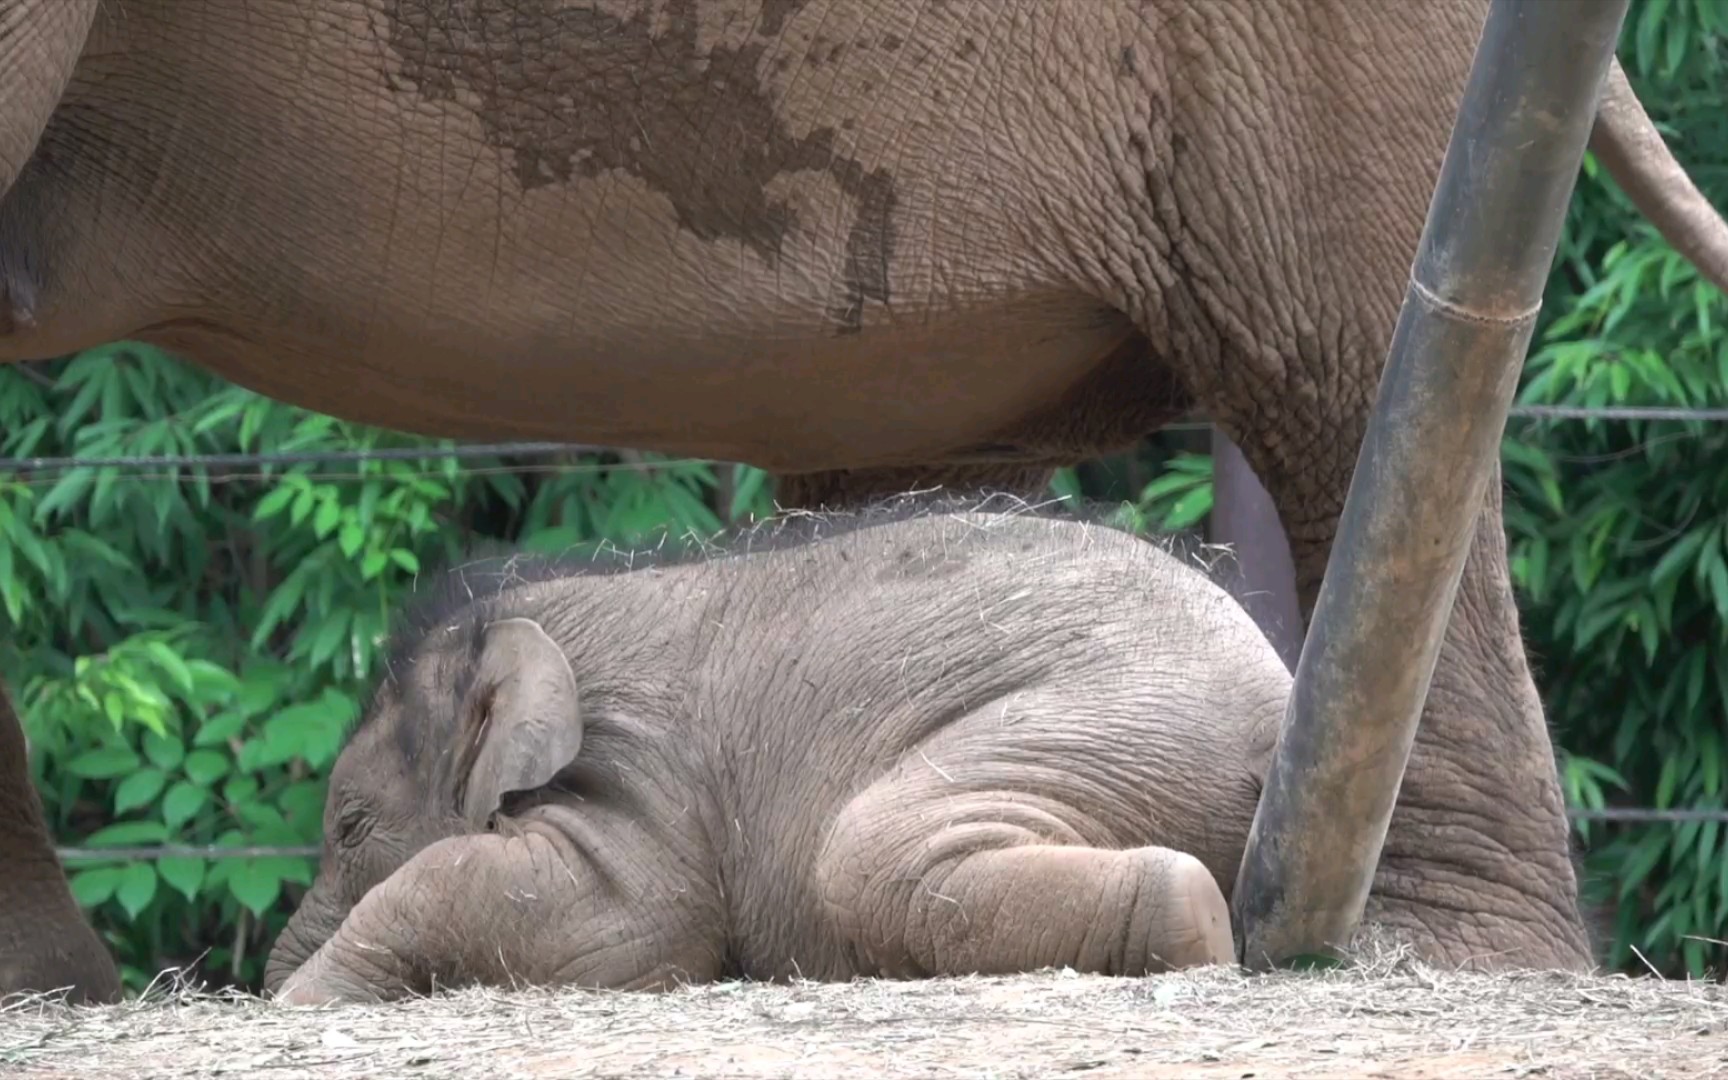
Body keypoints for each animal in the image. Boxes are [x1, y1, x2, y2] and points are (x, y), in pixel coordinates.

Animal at [269, 497, 1292, 1002]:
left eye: (349, 826)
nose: (272, 977)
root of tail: (1277, 698)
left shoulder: (642, 777)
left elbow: (622, 919)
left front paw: (308, 999)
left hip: (1111, 720)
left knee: (864, 853)